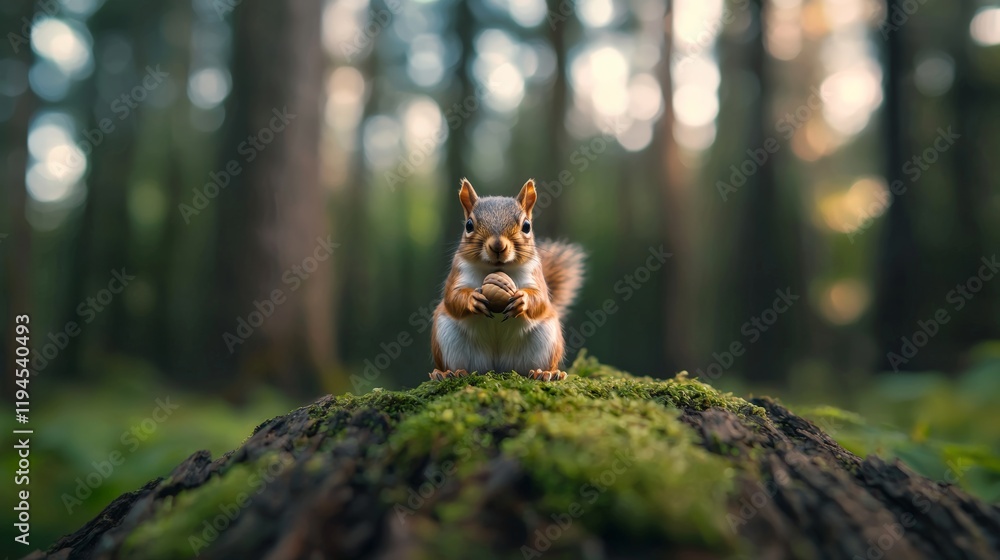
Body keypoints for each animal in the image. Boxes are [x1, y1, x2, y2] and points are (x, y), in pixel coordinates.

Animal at [430, 178, 585, 382]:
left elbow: (541, 300)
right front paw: (473, 299)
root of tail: (497, 368)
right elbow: (452, 298)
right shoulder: (458, 273)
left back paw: (546, 372)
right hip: (446, 334)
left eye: (526, 226)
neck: (498, 269)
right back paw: (449, 373)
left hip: (547, 337)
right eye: (469, 225)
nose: (498, 246)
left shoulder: (535, 274)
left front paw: (522, 300)